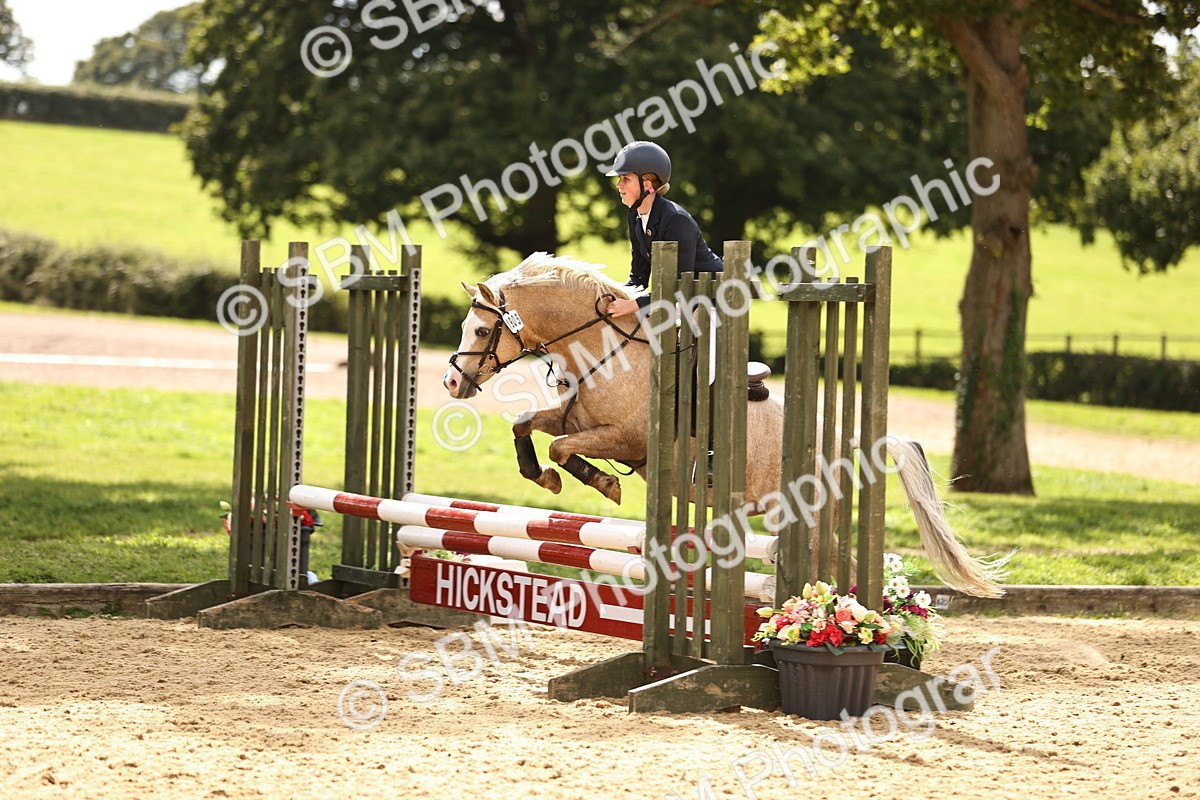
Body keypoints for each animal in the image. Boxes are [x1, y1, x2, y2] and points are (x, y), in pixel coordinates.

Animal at [442, 252, 1009, 598]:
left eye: (483, 330)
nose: (452, 383)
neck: (607, 352)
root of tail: (856, 440)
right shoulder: (574, 415)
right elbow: (526, 425)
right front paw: (544, 477)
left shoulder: (625, 438)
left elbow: (563, 447)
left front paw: (601, 484)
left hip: (811, 516)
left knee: (836, 570)